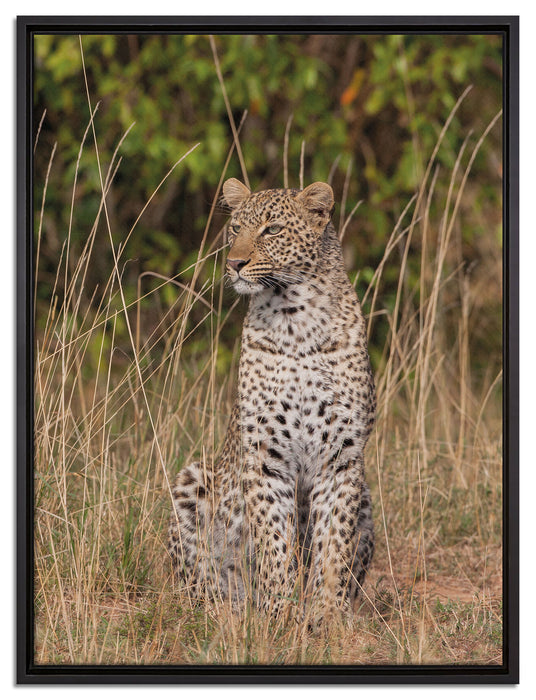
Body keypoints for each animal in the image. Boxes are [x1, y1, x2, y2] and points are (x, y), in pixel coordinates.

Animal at [168, 178, 376, 617]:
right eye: (235, 228)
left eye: (273, 230)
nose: (234, 263)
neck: (295, 320)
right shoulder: (264, 456)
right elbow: (273, 540)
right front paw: (280, 612)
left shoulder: (342, 457)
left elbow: (334, 544)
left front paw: (327, 615)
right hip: (192, 479)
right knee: (197, 580)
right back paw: (225, 609)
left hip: (366, 495)